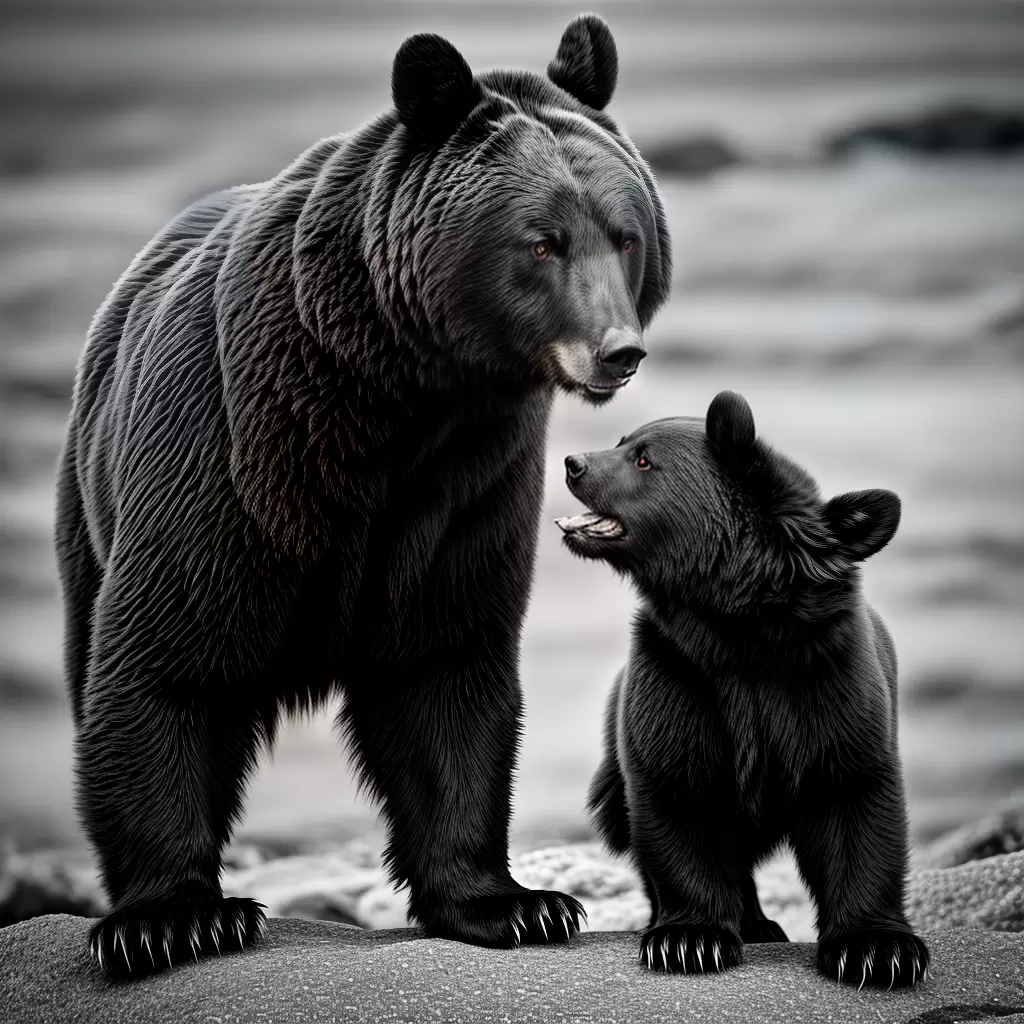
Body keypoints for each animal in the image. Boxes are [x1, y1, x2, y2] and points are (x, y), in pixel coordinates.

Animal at [53, 13, 672, 978]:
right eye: (542, 241)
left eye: (626, 234)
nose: (618, 350)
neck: (398, 394)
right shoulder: (228, 464)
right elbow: (168, 662)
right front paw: (176, 918)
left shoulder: (464, 491)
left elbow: (445, 671)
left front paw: (515, 904)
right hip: (91, 502)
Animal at [555, 390, 930, 987]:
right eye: (622, 442)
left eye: (643, 458)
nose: (573, 463)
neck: (738, 631)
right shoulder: (677, 675)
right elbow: (677, 793)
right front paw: (690, 939)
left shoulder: (831, 681)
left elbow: (855, 797)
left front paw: (878, 949)